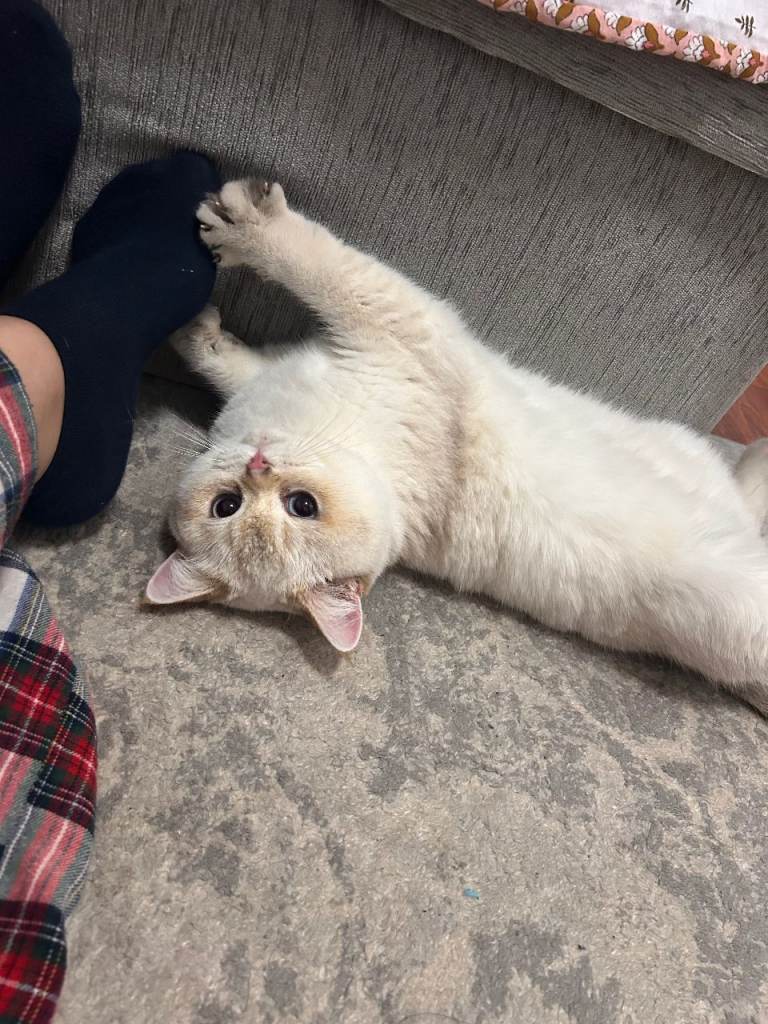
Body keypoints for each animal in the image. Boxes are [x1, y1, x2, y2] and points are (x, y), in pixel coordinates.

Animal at [146, 177, 768, 715]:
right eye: (228, 506)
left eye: (301, 506)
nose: (258, 466)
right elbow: (258, 323)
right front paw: (201, 303)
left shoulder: (393, 329)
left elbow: (297, 279)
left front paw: (224, 252)